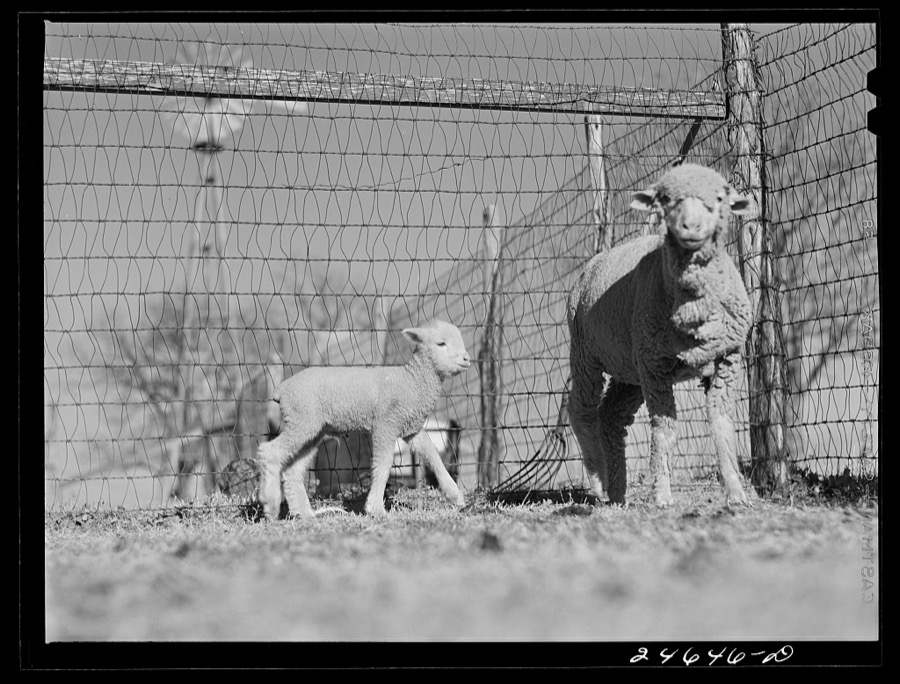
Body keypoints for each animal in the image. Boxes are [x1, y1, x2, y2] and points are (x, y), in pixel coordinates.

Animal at [257, 319, 472, 520]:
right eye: (441, 343)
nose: (467, 359)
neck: (411, 381)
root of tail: (282, 389)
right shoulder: (386, 424)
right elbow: (383, 464)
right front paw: (375, 509)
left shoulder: (412, 428)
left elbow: (433, 455)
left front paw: (456, 497)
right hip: (302, 420)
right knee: (270, 451)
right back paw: (271, 505)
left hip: (312, 429)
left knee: (292, 470)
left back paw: (304, 514)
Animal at [566, 163, 754, 507]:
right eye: (665, 198)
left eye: (720, 198)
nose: (690, 226)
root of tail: (594, 263)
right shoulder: (656, 367)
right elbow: (664, 428)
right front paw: (663, 495)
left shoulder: (726, 359)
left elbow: (722, 424)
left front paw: (736, 493)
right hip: (587, 353)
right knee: (582, 410)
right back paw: (599, 481)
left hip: (631, 367)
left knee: (611, 415)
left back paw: (618, 490)